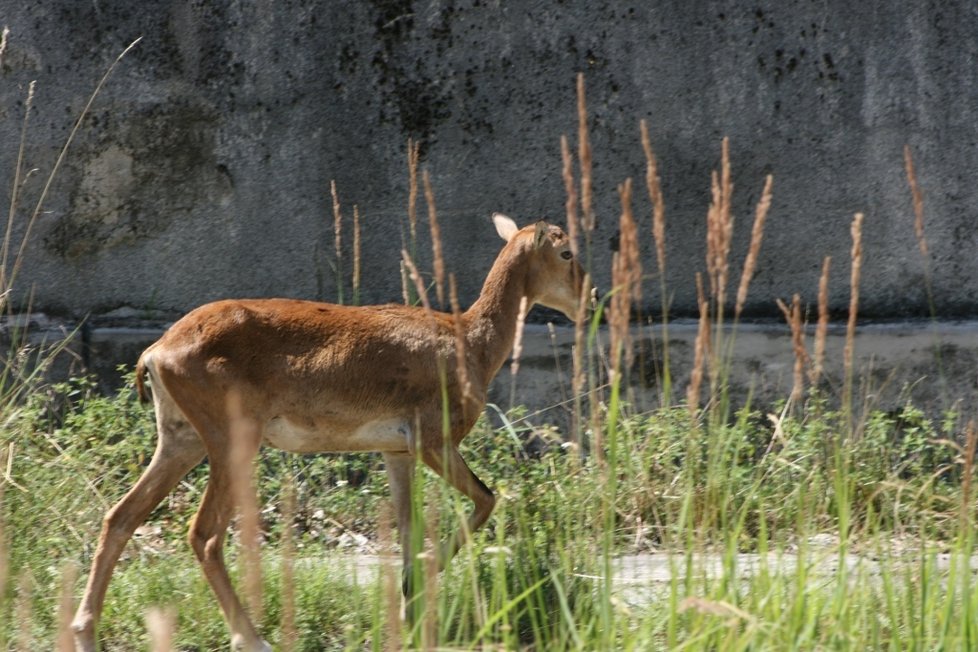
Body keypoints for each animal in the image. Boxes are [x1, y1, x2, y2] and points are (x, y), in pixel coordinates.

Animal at [72, 214, 588, 652]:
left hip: (181, 441)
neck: (470, 342)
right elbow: (487, 498)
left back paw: (84, 632)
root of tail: (157, 352)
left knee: (120, 517)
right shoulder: (434, 443)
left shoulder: (397, 452)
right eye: (566, 252)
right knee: (204, 535)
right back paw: (253, 639)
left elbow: (408, 528)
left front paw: (410, 604)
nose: (592, 297)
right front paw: (420, 584)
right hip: (231, 443)